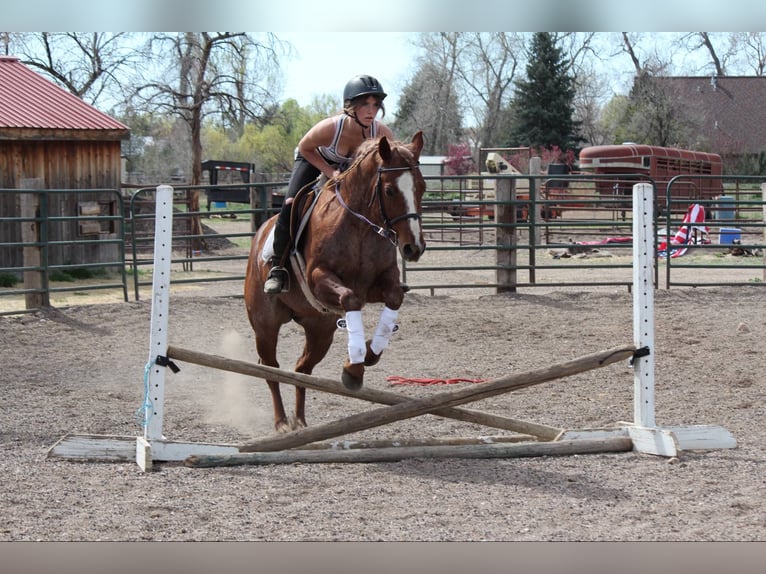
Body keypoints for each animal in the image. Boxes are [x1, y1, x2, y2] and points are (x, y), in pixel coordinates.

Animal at [244, 131, 426, 432]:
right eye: (390, 190)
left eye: (421, 188)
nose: (414, 248)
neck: (360, 226)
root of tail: (259, 236)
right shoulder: (319, 279)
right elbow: (350, 298)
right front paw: (354, 368)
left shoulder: (379, 284)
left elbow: (394, 298)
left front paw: (367, 354)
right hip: (265, 324)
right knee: (270, 367)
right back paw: (282, 423)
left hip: (320, 329)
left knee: (301, 370)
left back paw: (301, 421)